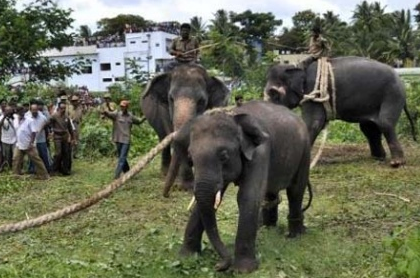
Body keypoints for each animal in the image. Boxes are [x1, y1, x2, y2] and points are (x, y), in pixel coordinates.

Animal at [176, 101, 312, 272]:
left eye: (224, 156)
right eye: (190, 157)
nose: (218, 265)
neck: (234, 117)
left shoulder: (260, 152)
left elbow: (248, 196)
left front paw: (243, 270)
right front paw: (187, 257)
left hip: (305, 150)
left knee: (296, 190)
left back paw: (296, 235)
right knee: (271, 191)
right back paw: (267, 227)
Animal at [264, 55, 416, 166]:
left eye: (273, 93)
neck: (298, 66)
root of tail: (400, 78)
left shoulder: (313, 92)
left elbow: (313, 123)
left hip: (392, 94)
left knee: (385, 123)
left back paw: (396, 163)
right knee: (369, 128)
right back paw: (378, 158)